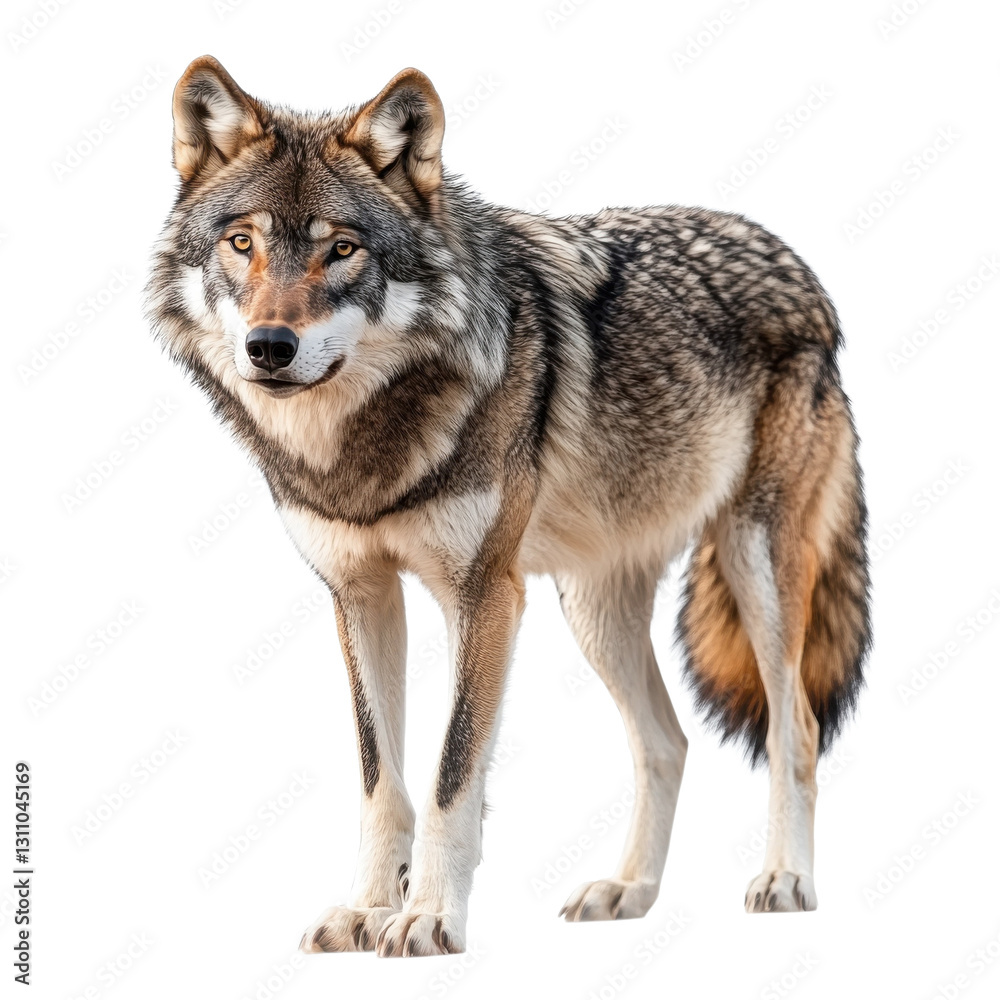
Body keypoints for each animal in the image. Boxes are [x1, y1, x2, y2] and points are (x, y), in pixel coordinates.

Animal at [146, 57, 871, 957]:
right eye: (241, 243)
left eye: (342, 249)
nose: (269, 348)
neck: (361, 451)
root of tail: (797, 263)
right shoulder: (360, 595)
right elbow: (381, 777)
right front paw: (365, 909)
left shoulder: (486, 595)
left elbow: (452, 774)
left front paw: (427, 916)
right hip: (594, 612)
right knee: (667, 742)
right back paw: (629, 890)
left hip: (754, 568)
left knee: (793, 727)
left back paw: (786, 879)